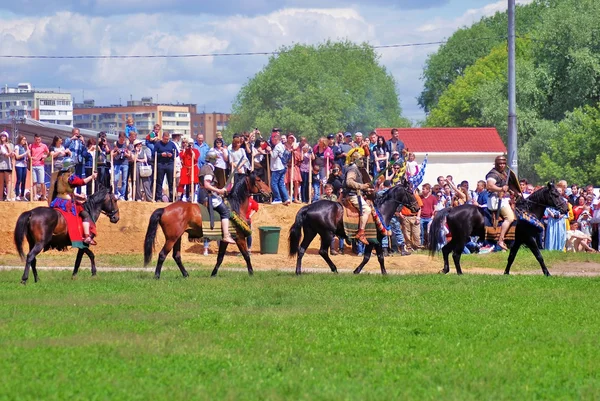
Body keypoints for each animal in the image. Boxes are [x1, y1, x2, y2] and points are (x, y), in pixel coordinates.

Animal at [288, 181, 420, 276]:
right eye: (410, 192)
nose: (417, 208)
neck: (381, 211)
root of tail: (309, 207)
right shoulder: (374, 240)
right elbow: (373, 257)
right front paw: (364, 271)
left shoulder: (374, 241)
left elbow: (374, 257)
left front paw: (376, 272)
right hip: (327, 234)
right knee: (323, 251)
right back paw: (334, 269)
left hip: (311, 233)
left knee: (301, 249)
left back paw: (298, 272)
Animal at [426, 184, 568, 276]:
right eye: (555, 195)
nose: (566, 209)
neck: (527, 212)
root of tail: (451, 209)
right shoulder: (529, 239)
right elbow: (539, 256)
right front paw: (547, 273)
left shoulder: (518, 241)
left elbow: (511, 258)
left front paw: (506, 273)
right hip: (462, 238)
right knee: (456, 254)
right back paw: (460, 273)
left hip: (456, 237)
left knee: (445, 250)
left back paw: (445, 270)